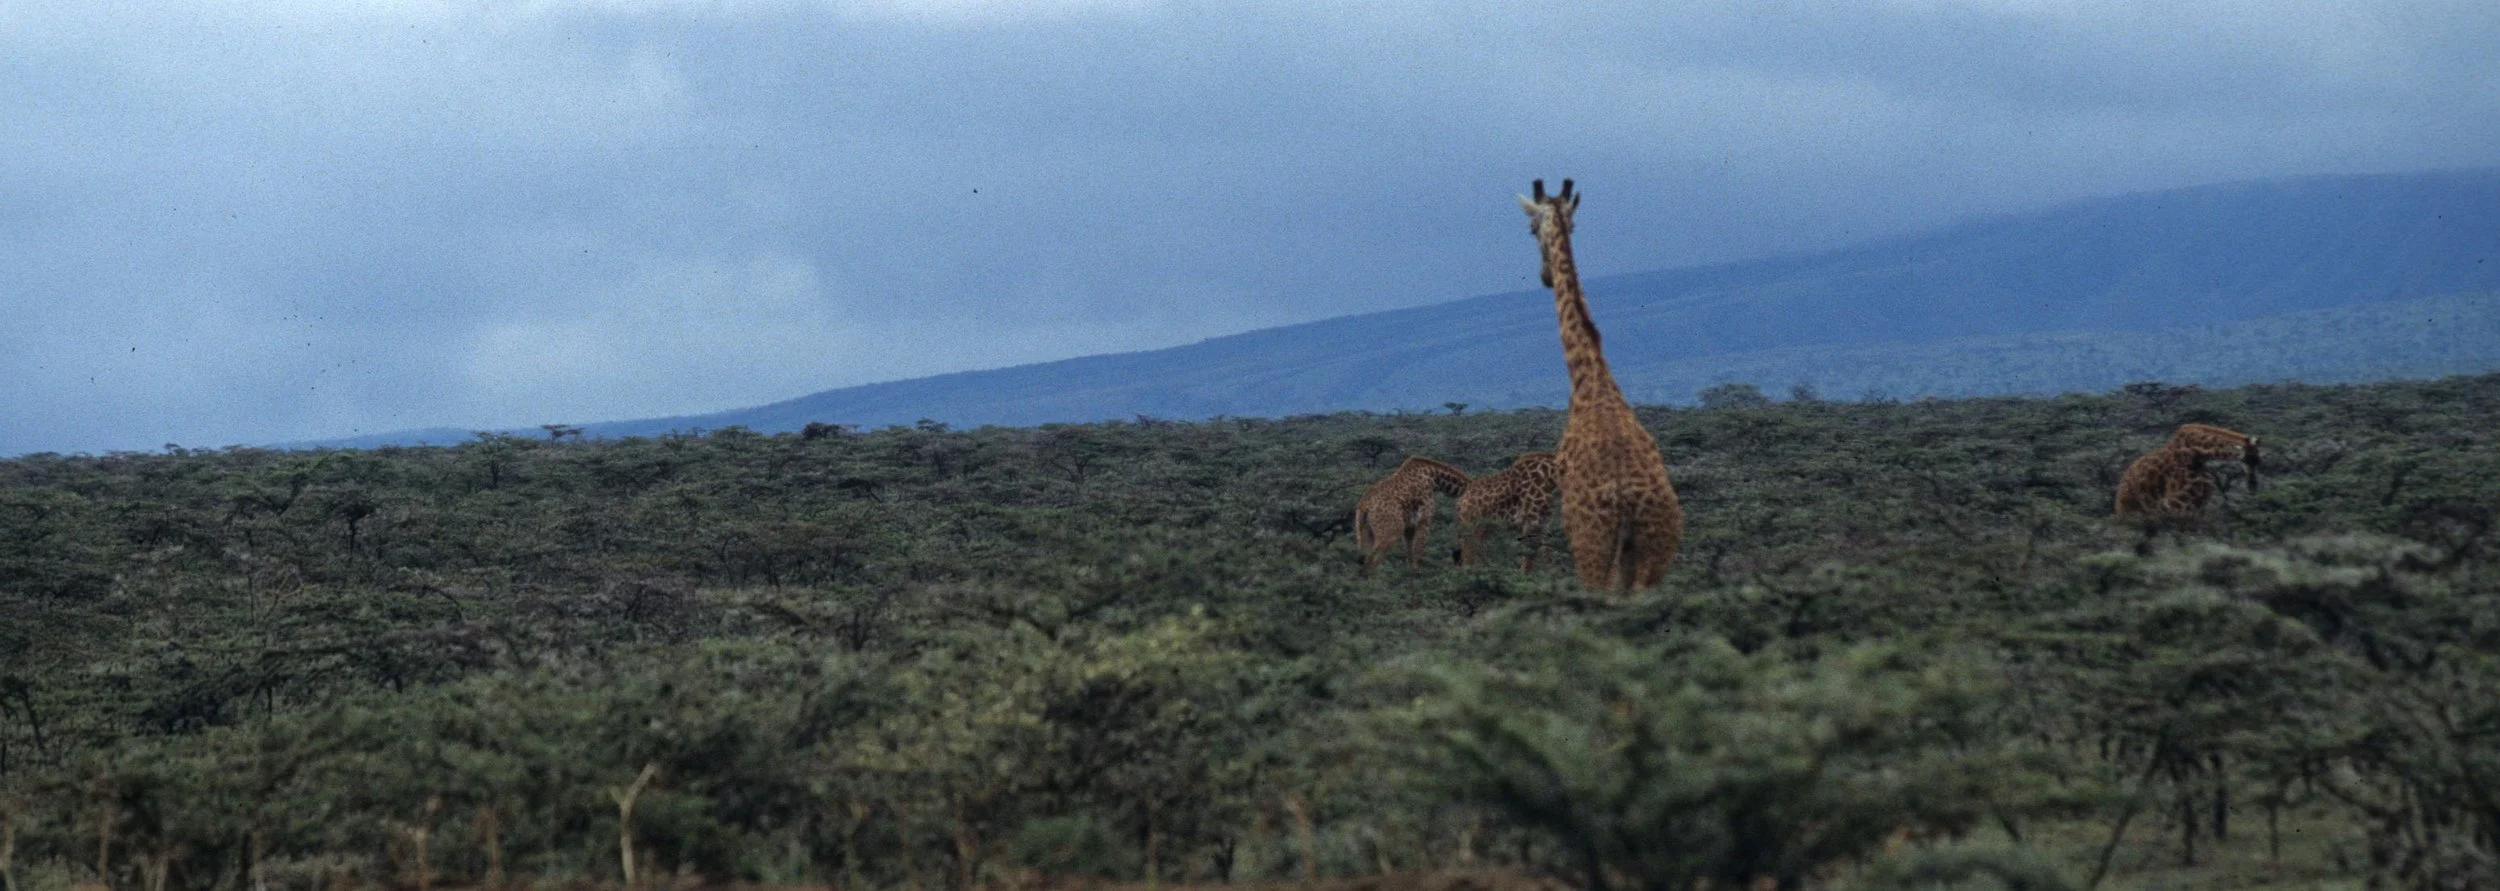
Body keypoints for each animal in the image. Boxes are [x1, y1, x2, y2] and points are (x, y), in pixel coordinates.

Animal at [1519, 178, 1683, 593]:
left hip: (1591, 548)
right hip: (1655, 556)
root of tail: (1629, 504)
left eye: (1531, 229)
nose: (1544, 275)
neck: (1590, 376)